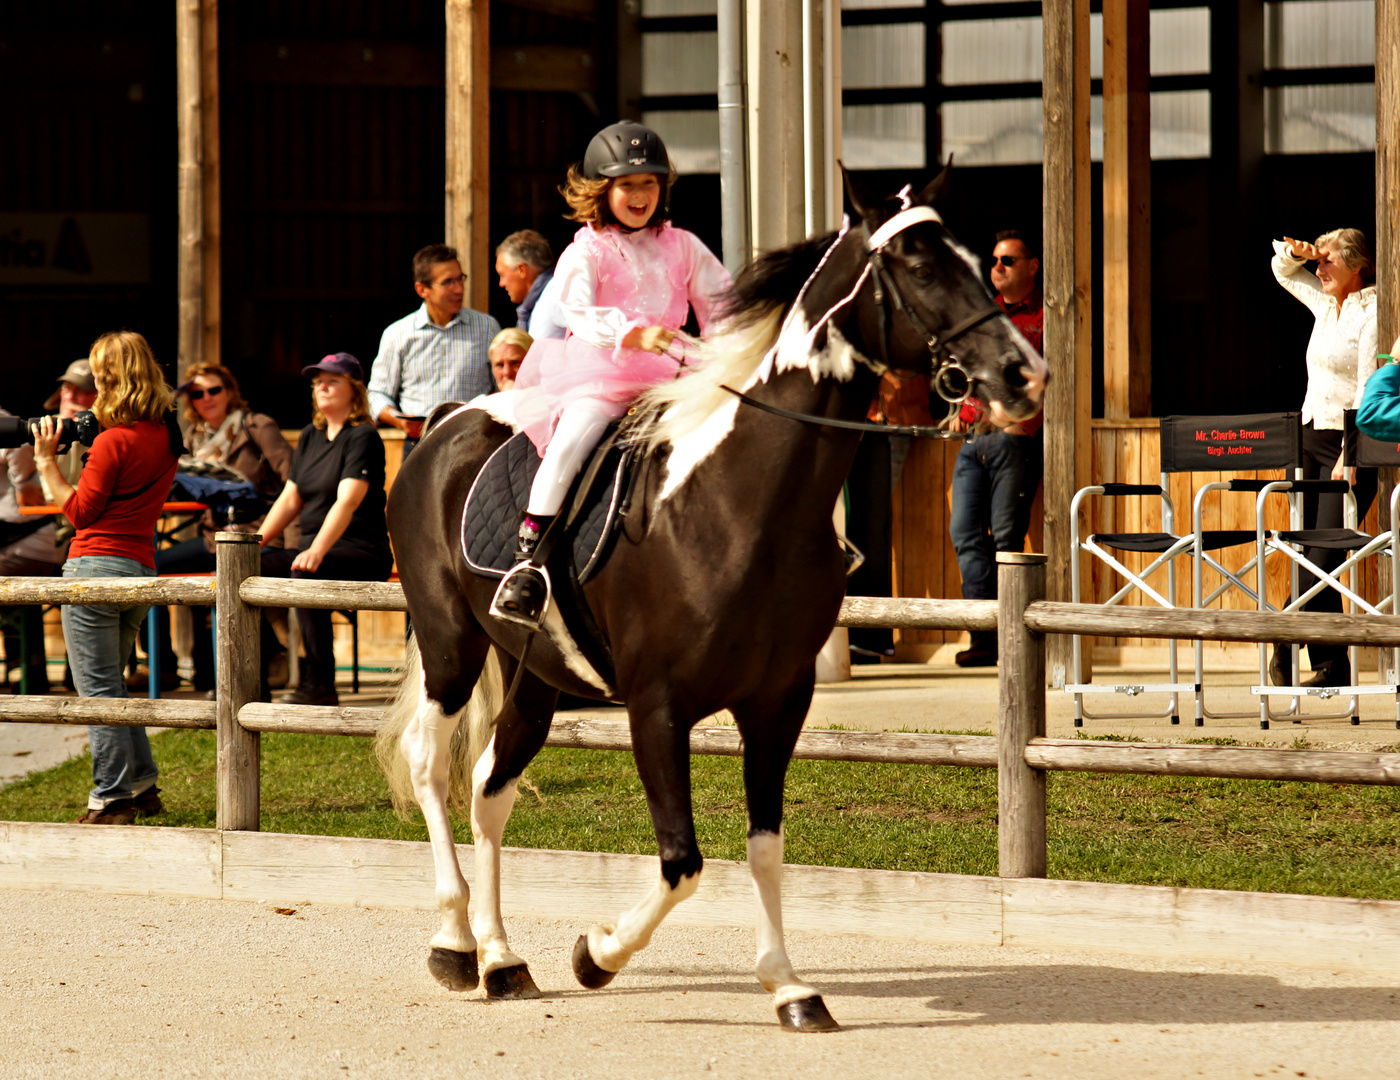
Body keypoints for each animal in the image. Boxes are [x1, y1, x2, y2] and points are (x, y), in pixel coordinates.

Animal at [378, 166, 1047, 1030]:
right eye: (921, 267)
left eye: (977, 260)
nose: (1024, 375)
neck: (738, 502)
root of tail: (444, 424)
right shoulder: (657, 707)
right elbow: (682, 861)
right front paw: (596, 955)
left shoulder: (776, 702)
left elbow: (764, 848)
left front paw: (791, 988)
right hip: (450, 644)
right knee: (433, 766)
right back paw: (457, 946)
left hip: (535, 675)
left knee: (492, 785)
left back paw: (502, 959)